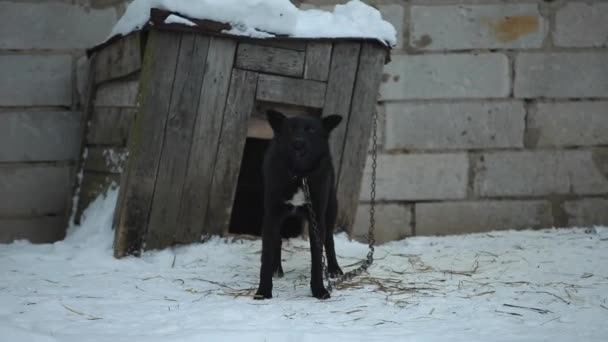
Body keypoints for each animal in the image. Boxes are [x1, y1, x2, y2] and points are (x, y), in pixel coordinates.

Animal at [253, 110, 342, 300]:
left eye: (311, 130)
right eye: (291, 130)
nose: (298, 143)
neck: (300, 175)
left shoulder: (317, 217)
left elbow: (317, 257)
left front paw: (319, 290)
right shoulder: (271, 215)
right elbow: (266, 255)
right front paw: (263, 290)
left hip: (330, 209)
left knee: (329, 238)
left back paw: (334, 268)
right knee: (278, 240)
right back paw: (276, 269)